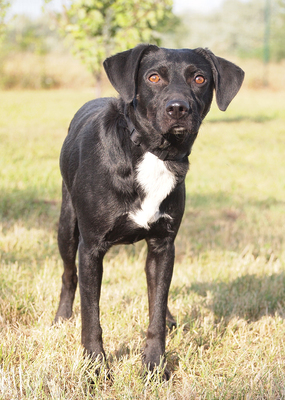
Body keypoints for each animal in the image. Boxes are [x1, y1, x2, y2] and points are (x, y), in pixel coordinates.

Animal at [53, 45, 244, 376]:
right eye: (153, 77)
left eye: (199, 78)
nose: (178, 108)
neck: (154, 153)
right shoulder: (90, 249)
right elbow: (91, 317)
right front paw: (95, 368)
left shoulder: (163, 245)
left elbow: (155, 311)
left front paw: (155, 365)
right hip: (67, 226)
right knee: (68, 275)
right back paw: (62, 317)